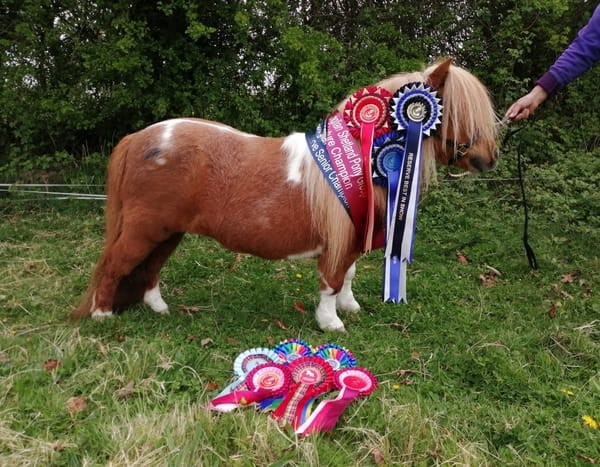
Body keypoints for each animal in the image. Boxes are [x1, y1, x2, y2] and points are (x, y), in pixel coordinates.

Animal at [72, 58, 500, 332]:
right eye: (459, 114)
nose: (488, 160)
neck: (365, 156)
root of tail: (137, 138)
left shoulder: (353, 232)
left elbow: (348, 274)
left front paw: (349, 307)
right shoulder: (339, 237)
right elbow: (332, 279)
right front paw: (331, 322)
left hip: (167, 232)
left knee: (150, 269)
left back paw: (159, 309)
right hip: (145, 229)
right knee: (115, 264)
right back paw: (103, 316)